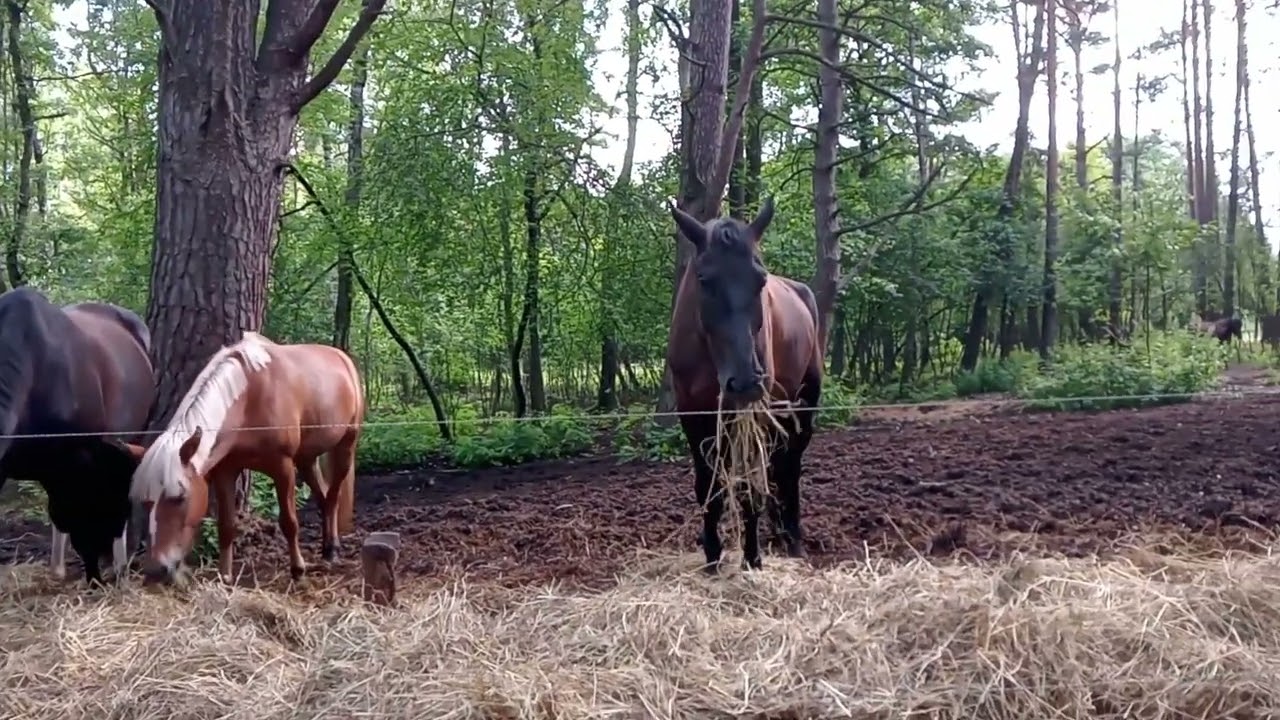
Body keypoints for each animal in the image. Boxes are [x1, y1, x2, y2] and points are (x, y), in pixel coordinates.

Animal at [130, 331, 365, 583]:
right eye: (146, 502)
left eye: (179, 497)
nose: (155, 570)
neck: (248, 398)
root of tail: (341, 357)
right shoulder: (225, 471)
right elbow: (226, 527)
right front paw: (225, 577)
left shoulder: (282, 468)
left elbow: (289, 522)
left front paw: (298, 570)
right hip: (306, 459)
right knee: (323, 497)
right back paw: (326, 546)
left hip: (345, 446)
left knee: (333, 496)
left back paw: (332, 549)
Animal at [666, 197, 823, 573]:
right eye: (704, 279)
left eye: (760, 280)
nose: (745, 382)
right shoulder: (694, 416)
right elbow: (708, 487)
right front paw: (712, 556)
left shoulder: (752, 416)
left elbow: (749, 487)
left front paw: (752, 558)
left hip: (803, 405)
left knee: (790, 467)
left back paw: (792, 537)